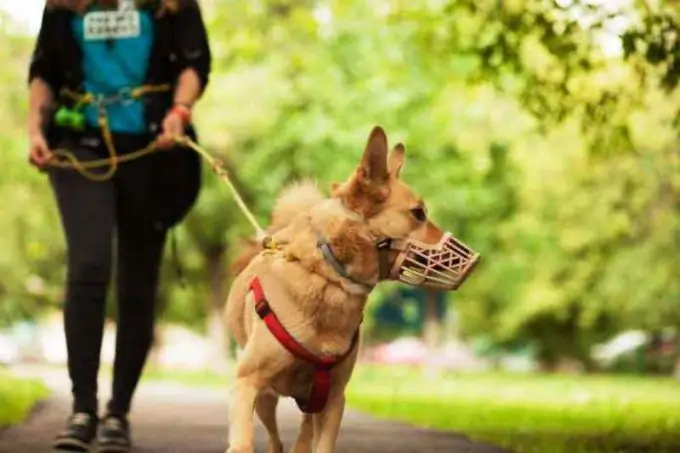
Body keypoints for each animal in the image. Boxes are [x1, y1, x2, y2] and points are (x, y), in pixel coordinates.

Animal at [223, 124, 478, 452]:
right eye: (418, 213)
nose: (475, 259)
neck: (329, 277)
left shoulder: (333, 399)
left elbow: (322, 445)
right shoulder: (247, 383)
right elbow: (243, 441)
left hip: (311, 401)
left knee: (302, 435)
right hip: (267, 398)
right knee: (275, 438)